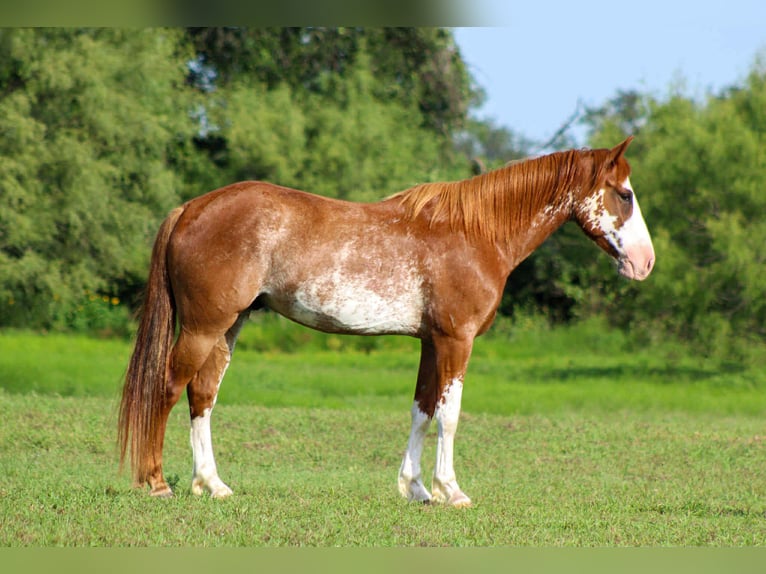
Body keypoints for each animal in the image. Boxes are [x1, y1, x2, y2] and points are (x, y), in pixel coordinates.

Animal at [118, 137, 654, 506]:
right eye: (624, 194)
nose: (645, 263)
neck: (474, 233)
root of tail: (191, 208)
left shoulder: (430, 342)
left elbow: (421, 410)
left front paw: (415, 489)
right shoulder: (455, 341)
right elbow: (450, 416)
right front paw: (451, 491)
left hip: (227, 327)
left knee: (202, 395)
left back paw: (212, 484)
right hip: (204, 327)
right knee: (168, 387)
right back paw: (157, 483)